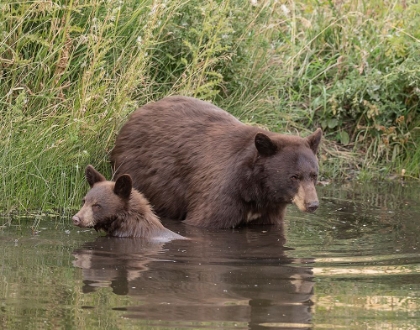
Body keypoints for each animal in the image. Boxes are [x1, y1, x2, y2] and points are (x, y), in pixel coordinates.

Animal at [110, 96, 320, 228]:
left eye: (314, 175)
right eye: (294, 176)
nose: (313, 204)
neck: (255, 187)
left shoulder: (269, 211)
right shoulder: (221, 194)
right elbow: (206, 220)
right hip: (138, 172)